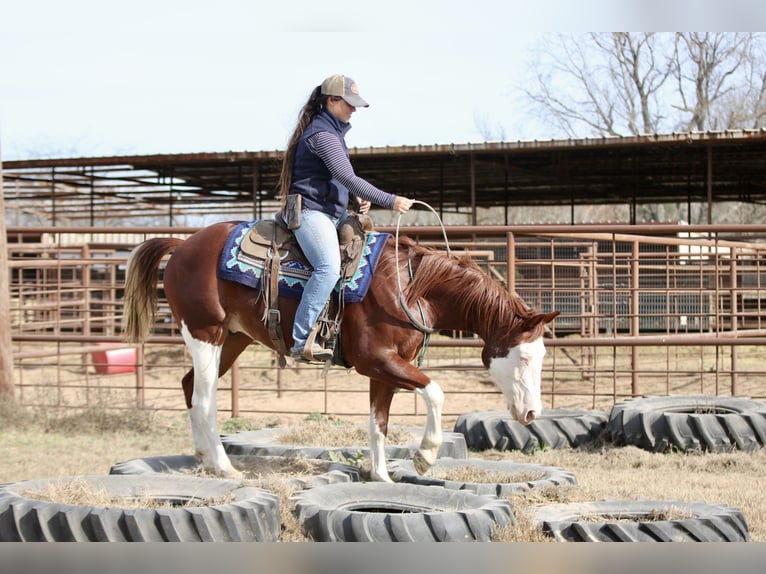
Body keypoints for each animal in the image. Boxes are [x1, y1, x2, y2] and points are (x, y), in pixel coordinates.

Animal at [122, 220, 559, 482]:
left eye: (542, 359)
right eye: (523, 357)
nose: (532, 414)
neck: (410, 288)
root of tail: (184, 245)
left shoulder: (387, 368)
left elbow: (378, 423)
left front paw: (382, 477)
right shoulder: (376, 360)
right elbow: (435, 392)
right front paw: (424, 456)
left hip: (232, 339)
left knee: (189, 387)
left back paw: (202, 457)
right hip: (205, 334)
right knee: (204, 399)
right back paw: (225, 467)